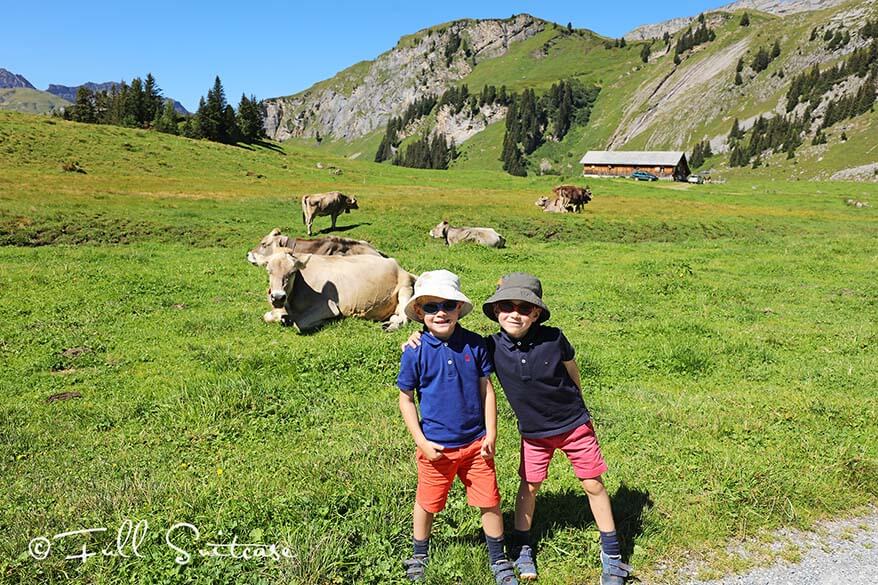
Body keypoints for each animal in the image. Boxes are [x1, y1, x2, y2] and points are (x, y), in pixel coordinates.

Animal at [262, 248, 414, 334]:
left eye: (293, 272)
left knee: (405, 318)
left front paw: (324, 321)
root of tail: (395, 263)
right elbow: (267, 316)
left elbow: (299, 323)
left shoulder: (328, 306)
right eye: (269, 271)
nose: (278, 297)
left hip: (405, 288)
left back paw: (392, 326)